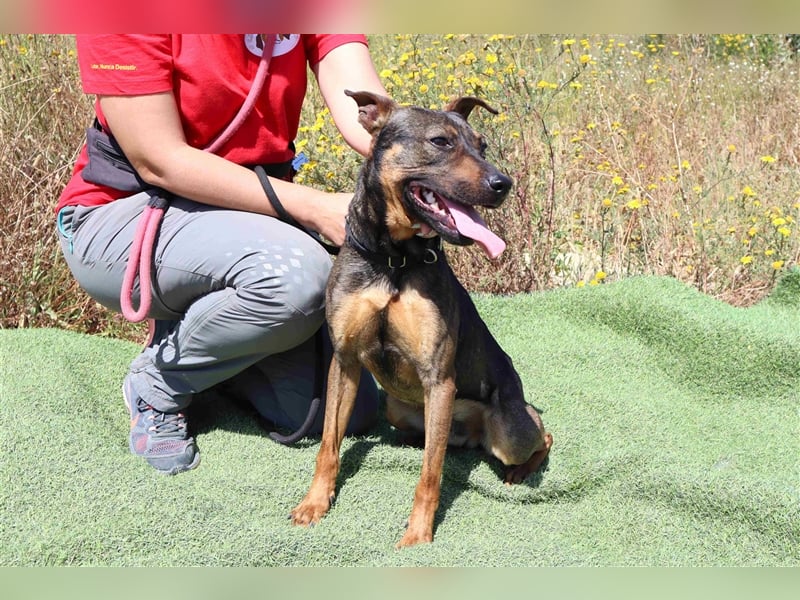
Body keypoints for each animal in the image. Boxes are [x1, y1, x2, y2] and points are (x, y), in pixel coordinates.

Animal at [290, 90, 552, 548]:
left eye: (482, 146)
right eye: (440, 142)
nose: (503, 184)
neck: (394, 260)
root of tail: (472, 435)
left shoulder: (438, 379)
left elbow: (430, 475)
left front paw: (417, 535)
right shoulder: (344, 361)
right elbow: (327, 445)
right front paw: (314, 504)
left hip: (509, 430)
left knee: (540, 434)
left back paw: (517, 470)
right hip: (398, 407)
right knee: (434, 439)